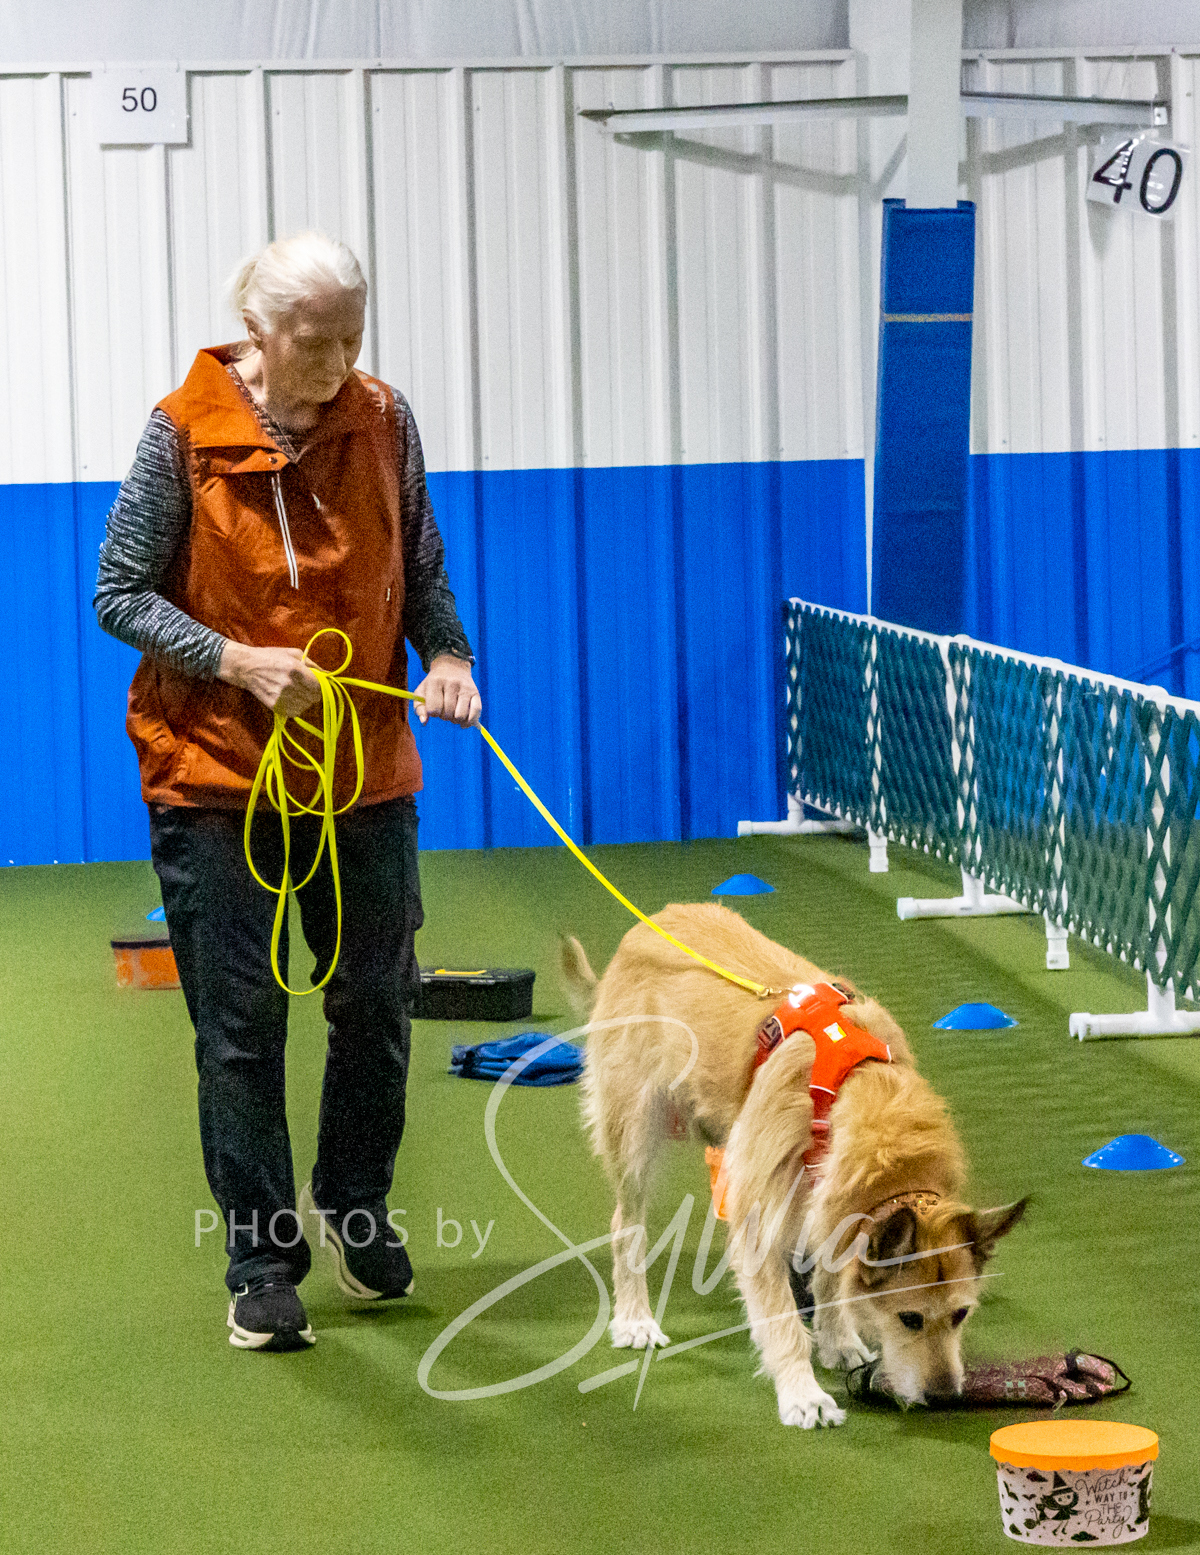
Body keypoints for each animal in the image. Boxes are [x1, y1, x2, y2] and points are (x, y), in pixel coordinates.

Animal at [562, 902, 1025, 1429]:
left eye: (961, 1315)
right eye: (910, 1318)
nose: (946, 1397)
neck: (854, 1091)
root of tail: (648, 927)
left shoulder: (830, 1204)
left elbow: (830, 1273)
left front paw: (838, 1339)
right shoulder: (760, 1218)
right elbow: (781, 1318)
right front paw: (802, 1393)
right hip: (635, 1133)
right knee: (627, 1223)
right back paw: (634, 1318)